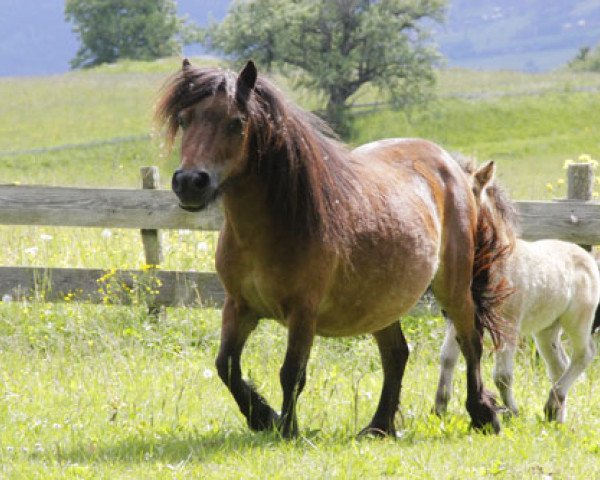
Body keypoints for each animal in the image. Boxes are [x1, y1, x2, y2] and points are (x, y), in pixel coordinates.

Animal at [157, 60, 508, 438]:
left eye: (236, 122)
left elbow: (291, 373)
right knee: (396, 353)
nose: (190, 182)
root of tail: (450, 166)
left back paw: (482, 414)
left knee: (470, 341)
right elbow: (226, 366)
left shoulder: (303, 312)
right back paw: (379, 426)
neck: (273, 226)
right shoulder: (239, 306)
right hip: (382, 301)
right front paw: (263, 417)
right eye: (184, 119)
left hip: (453, 288)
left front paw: (287, 429)